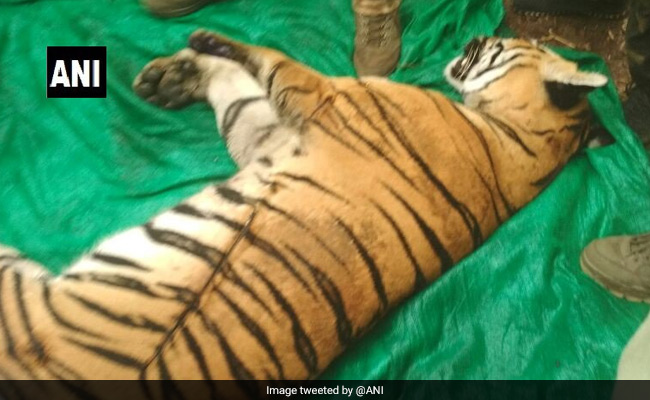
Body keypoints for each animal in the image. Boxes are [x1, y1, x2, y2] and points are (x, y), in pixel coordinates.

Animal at [0, 30, 606, 395]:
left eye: (511, 42)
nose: (477, 35)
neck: (524, 136)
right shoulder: (269, 136)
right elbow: (238, 90)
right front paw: (179, 75)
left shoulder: (318, 96)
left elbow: (266, 57)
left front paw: (203, 44)